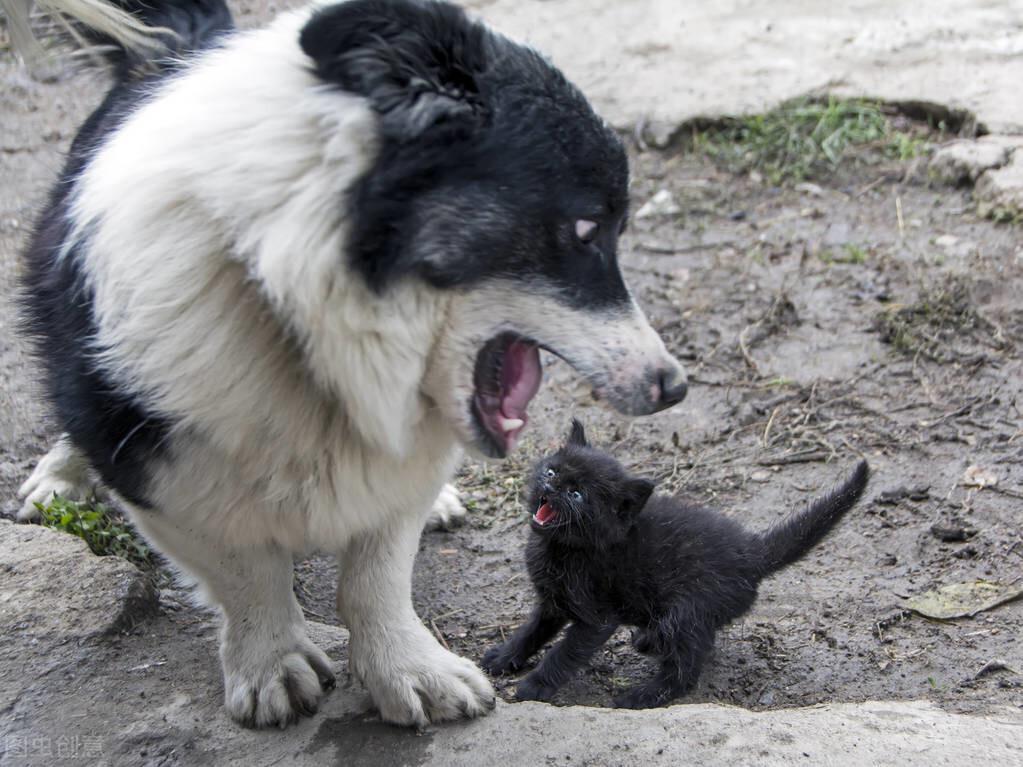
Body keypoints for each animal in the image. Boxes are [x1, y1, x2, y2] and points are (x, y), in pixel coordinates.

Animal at [12, 0, 687, 728]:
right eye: (588, 229)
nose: (673, 386)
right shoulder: (163, 474)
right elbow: (246, 572)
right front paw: (271, 662)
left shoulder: (395, 476)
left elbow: (376, 576)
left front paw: (408, 668)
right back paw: (60, 474)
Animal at [482, 423, 867, 711]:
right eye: (552, 470)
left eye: (577, 495)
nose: (551, 484)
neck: (561, 548)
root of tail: (752, 552)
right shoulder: (552, 602)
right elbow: (531, 630)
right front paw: (504, 656)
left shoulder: (595, 618)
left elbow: (564, 652)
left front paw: (534, 686)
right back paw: (647, 641)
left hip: (686, 611)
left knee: (686, 670)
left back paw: (640, 696)